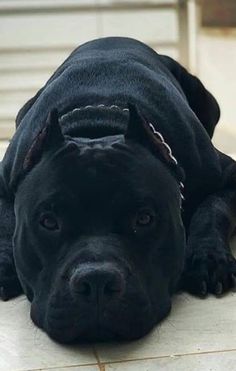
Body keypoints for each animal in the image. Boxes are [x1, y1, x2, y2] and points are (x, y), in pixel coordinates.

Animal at [0, 37, 236, 342]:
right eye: (48, 222)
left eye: (144, 219)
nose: (96, 281)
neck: (97, 127)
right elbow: (6, 219)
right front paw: (3, 262)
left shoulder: (229, 176)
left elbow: (213, 208)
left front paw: (208, 256)